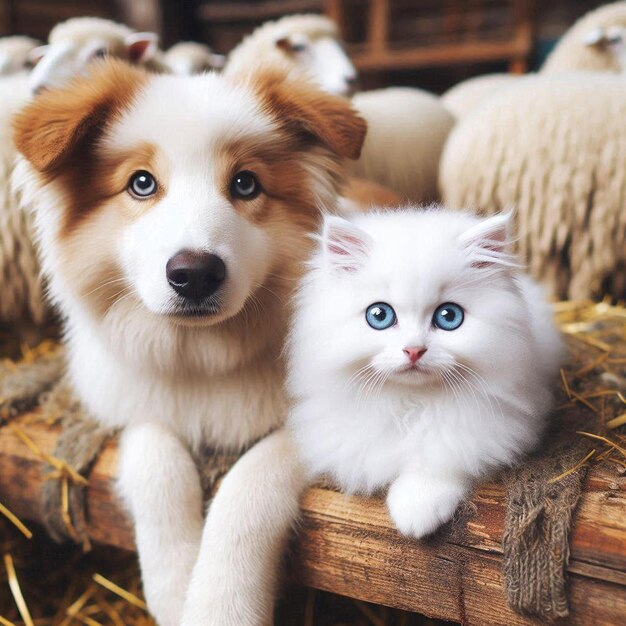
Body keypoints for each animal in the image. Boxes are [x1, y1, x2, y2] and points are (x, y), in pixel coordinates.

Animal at [13, 59, 366, 624]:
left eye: (245, 183)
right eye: (141, 183)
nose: (195, 274)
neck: (199, 356)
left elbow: (250, 480)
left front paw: (220, 603)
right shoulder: (129, 404)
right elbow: (156, 455)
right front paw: (174, 587)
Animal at [286, 206, 560, 536]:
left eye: (449, 316)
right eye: (379, 315)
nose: (414, 350)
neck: (413, 402)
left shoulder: (480, 432)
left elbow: (437, 461)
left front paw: (416, 510)